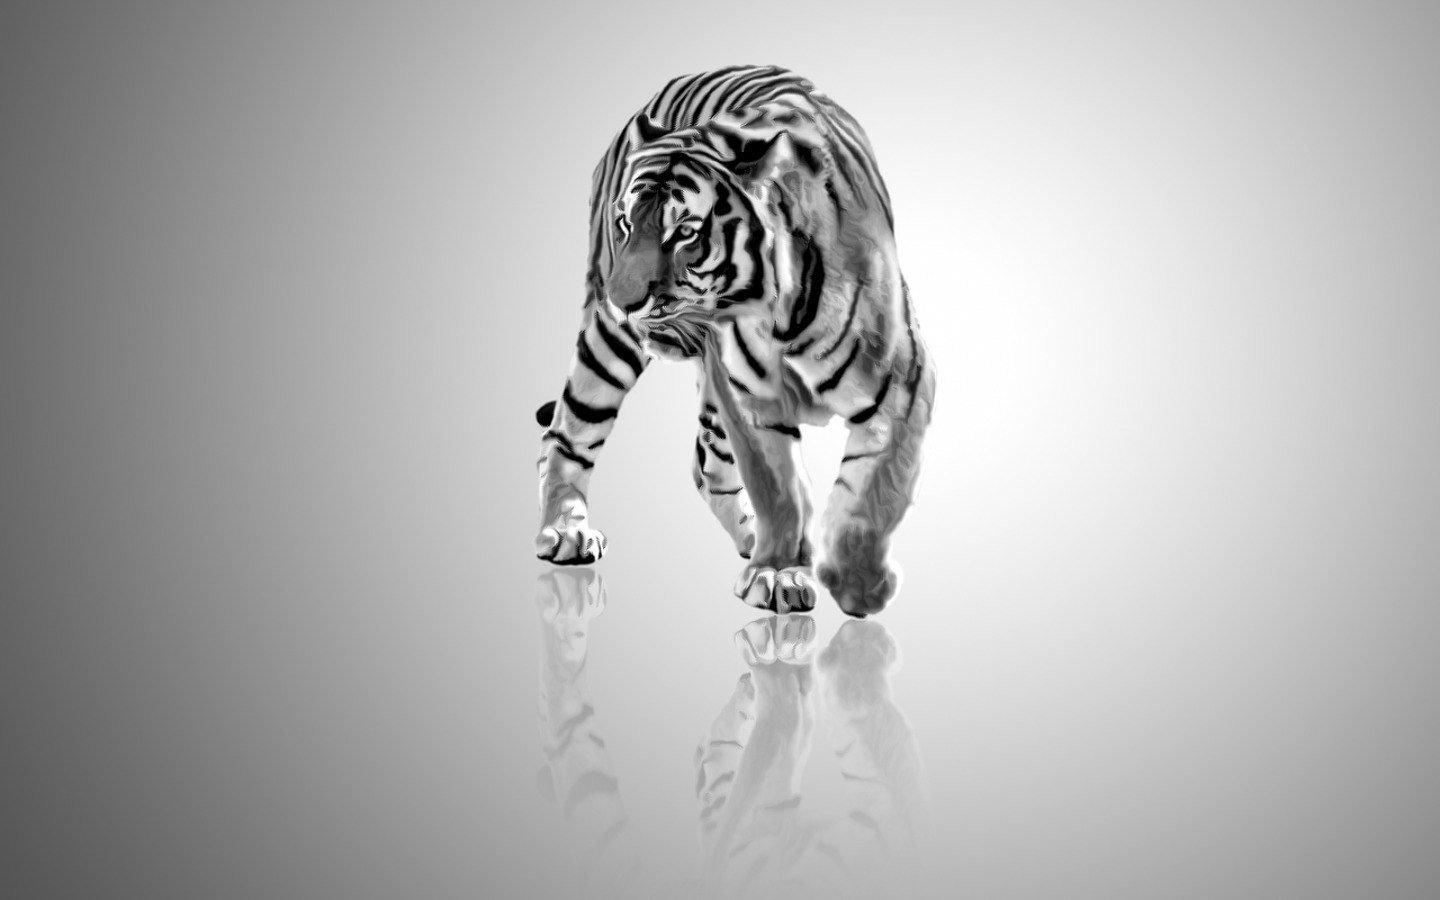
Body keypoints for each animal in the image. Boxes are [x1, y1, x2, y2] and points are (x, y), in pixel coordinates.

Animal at [533, 65, 936, 617]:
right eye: (626, 223)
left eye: (684, 233)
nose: (623, 301)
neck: (782, 312)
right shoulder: (753, 400)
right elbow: (780, 488)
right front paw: (780, 573)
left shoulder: (901, 388)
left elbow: (874, 490)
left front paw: (856, 584)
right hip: (610, 347)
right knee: (568, 431)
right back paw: (565, 531)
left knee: (706, 463)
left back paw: (753, 539)